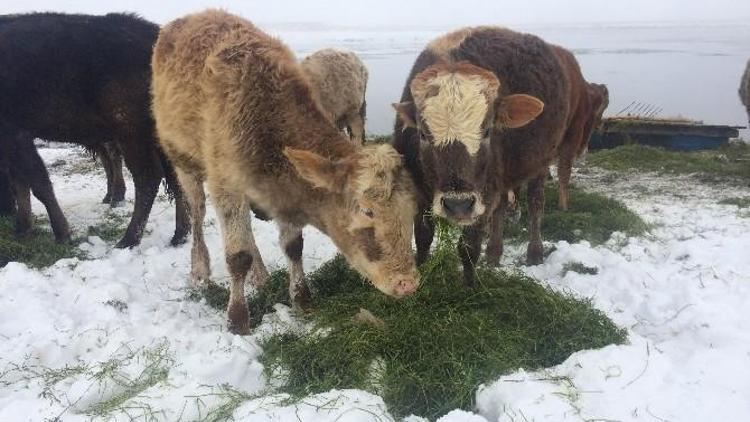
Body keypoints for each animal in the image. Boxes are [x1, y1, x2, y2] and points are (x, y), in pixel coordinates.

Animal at [0, 13, 188, 249]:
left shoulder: (16, 135)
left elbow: (39, 184)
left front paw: (62, 234)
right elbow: (21, 184)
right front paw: (22, 228)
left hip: (132, 134)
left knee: (148, 177)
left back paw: (128, 240)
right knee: (174, 177)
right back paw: (180, 234)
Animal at [153, 9, 424, 332]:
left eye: (412, 209)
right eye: (366, 210)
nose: (407, 283)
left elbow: (294, 246)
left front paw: (302, 298)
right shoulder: (226, 183)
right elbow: (237, 256)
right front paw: (237, 319)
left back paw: (259, 275)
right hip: (184, 162)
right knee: (196, 212)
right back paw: (200, 269)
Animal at [394, 25, 568, 284]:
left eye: (486, 131)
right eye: (423, 134)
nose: (457, 205)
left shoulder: (483, 196)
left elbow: (469, 246)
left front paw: (469, 286)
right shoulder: (417, 189)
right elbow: (423, 236)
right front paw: (420, 274)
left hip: (540, 163)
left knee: (536, 202)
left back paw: (535, 251)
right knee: (502, 207)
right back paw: (494, 252)